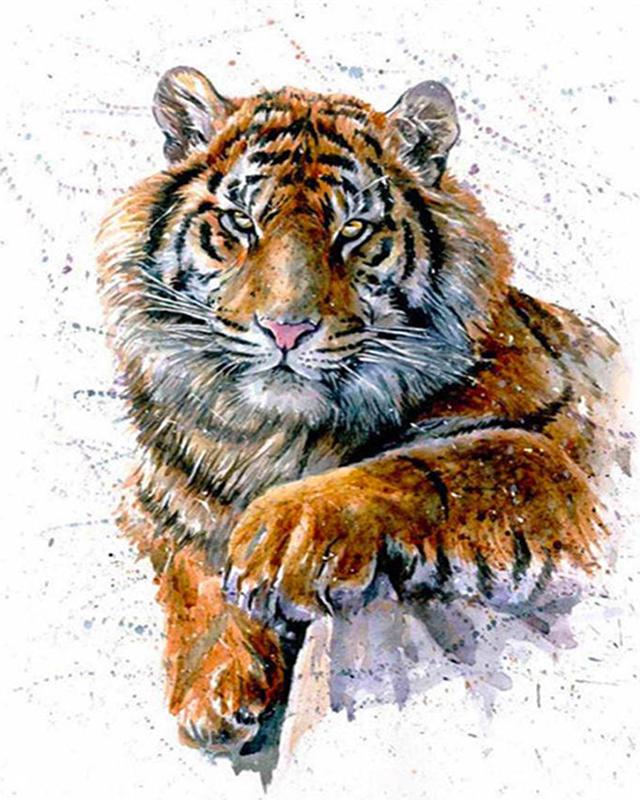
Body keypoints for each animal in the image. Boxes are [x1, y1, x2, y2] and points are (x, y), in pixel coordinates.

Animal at [96, 65, 620, 763]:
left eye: (352, 231)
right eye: (240, 223)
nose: (285, 329)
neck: (276, 437)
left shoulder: (559, 453)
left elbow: (431, 464)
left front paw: (281, 538)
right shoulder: (157, 498)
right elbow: (187, 562)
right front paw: (213, 687)